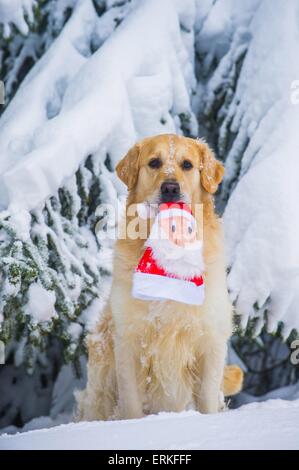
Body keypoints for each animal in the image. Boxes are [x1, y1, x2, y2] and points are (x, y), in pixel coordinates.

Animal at [75, 134, 244, 420]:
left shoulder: (210, 341)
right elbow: (131, 404)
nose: (170, 188)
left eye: (187, 165)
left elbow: (208, 400)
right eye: (154, 162)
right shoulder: (129, 342)